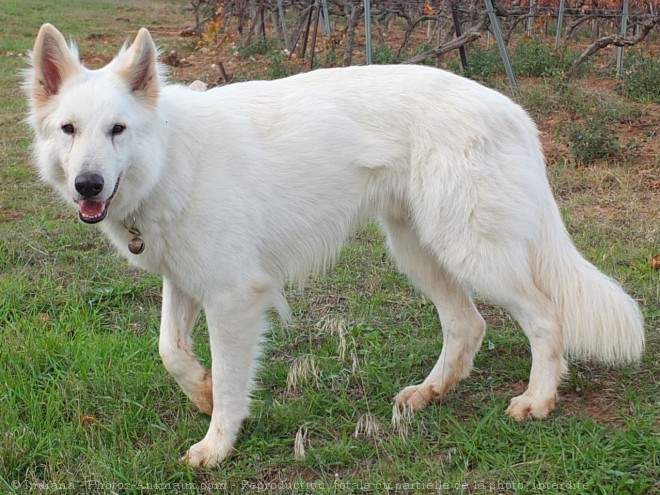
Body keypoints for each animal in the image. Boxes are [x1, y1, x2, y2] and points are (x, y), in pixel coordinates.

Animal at [27, 25, 644, 466]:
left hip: (471, 250)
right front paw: (200, 393)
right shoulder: (184, 279)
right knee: (468, 326)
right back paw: (428, 394)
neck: (171, 155)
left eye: (118, 130)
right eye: (69, 130)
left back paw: (537, 400)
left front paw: (218, 442)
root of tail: (512, 109)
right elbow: (170, 351)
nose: (88, 186)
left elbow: (230, 378)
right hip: (419, 251)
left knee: (544, 317)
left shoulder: (233, 297)